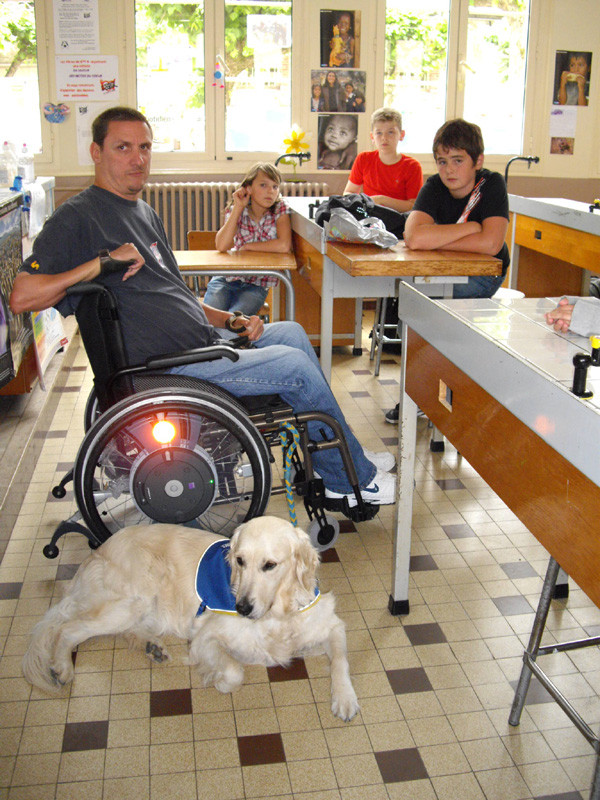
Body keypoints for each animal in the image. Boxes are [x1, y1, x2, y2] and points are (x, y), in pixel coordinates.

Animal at [23, 516, 358, 720]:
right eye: (240, 561)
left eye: (270, 565)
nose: (242, 608)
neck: (277, 614)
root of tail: (98, 549)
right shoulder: (205, 636)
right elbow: (234, 671)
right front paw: (218, 680)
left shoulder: (328, 624)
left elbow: (341, 658)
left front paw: (345, 698)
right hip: (130, 599)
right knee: (68, 628)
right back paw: (63, 667)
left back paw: (152, 647)